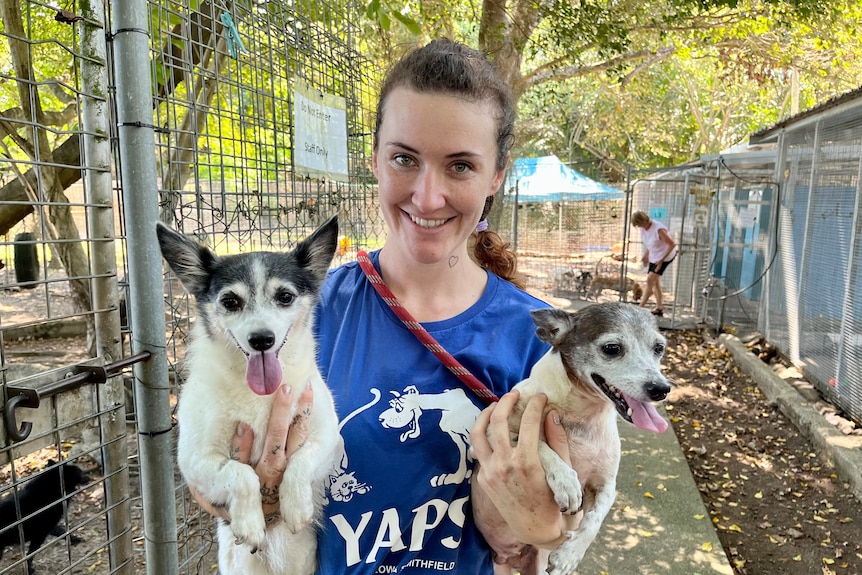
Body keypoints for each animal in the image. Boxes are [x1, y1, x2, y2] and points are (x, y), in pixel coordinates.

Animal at [159, 215, 340, 575]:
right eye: (230, 301)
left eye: (285, 296)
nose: (261, 340)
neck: (258, 393)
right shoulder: (194, 461)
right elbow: (241, 474)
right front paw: (250, 522)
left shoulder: (328, 436)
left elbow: (301, 460)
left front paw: (296, 506)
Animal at [476, 304, 672, 572]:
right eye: (612, 348)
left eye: (659, 348)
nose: (661, 389)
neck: (581, 416)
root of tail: (511, 558)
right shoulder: (489, 432)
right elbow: (538, 445)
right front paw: (566, 481)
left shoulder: (606, 486)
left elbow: (594, 521)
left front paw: (570, 555)